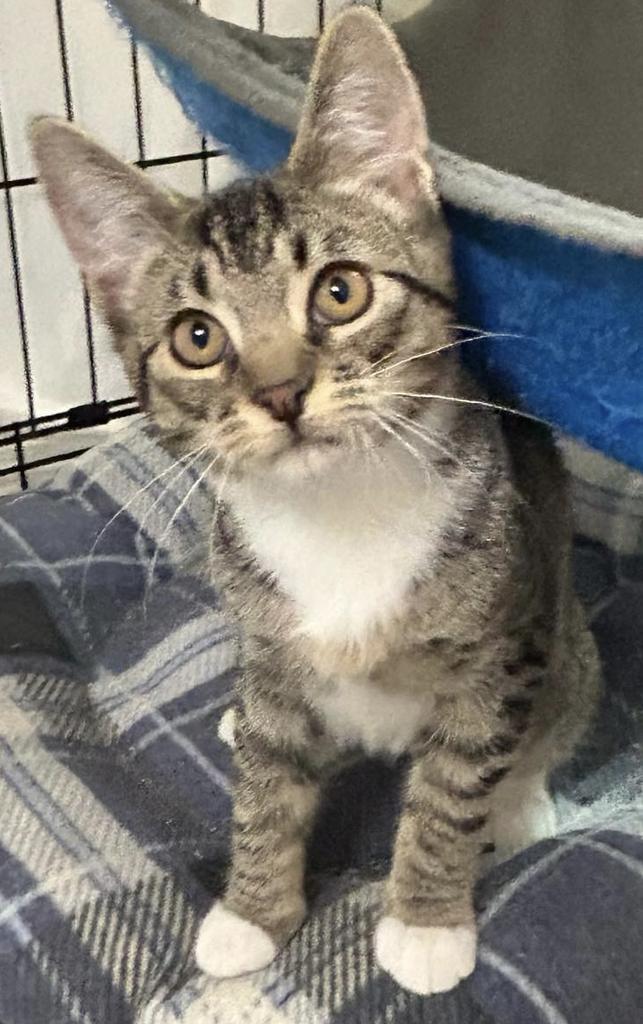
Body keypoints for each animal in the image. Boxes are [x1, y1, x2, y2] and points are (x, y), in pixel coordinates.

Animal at [33, 4, 597, 995]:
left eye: (339, 291)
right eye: (196, 338)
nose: (280, 392)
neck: (341, 512)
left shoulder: (500, 641)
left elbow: (456, 778)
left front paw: (425, 919)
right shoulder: (265, 627)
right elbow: (267, 780)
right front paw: (252, 910)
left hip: (564, 633)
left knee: (554, 706)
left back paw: (521, 801)